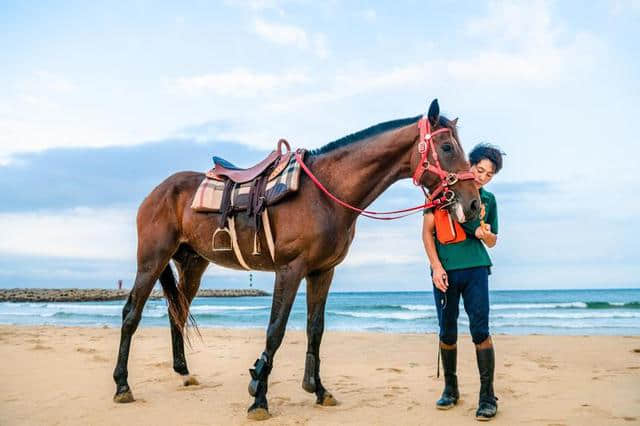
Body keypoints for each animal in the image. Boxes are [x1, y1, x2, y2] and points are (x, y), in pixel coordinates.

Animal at [112, 99, 480, 420]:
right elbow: (275, 330)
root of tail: (157, 191)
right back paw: (122, 385)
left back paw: (183, 373)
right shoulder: (289, 270)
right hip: (151, 261)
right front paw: (259, 396)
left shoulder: (322, 272)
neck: (326, 193)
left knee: (177, 313)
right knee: (131, 314)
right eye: (447, 147)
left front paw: (318, 389)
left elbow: (315, 329)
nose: (474, 203)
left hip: (192, 265)